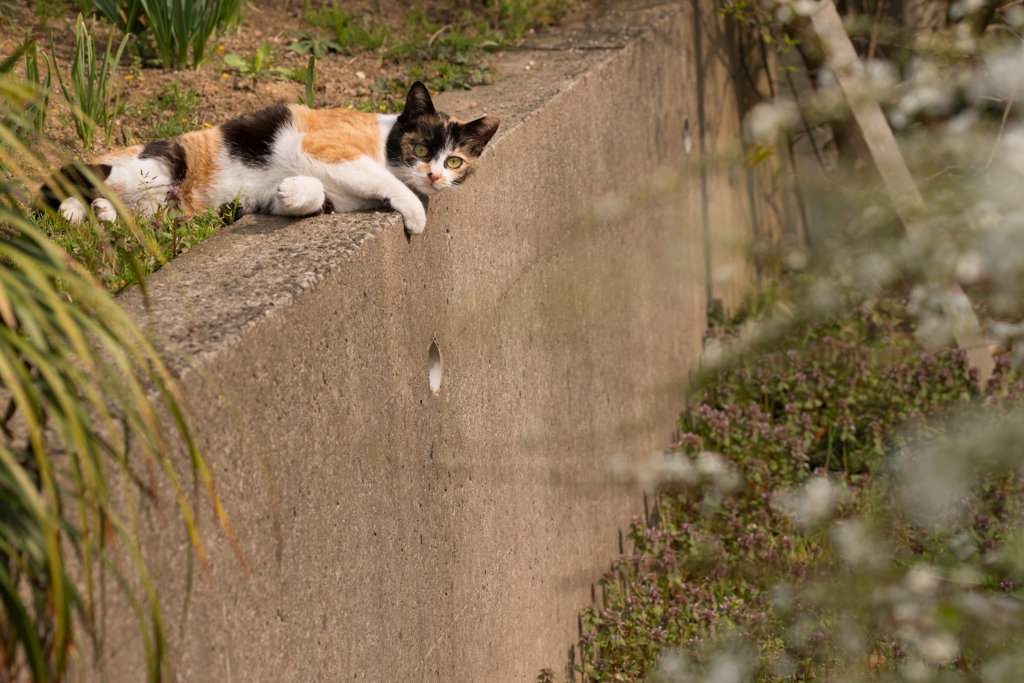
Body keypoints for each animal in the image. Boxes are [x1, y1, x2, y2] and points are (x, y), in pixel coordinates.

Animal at [39, 81, 499, 236]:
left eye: (455, 162)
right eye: (420, 149)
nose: (435, 177)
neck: (384, 141)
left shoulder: (327, 194)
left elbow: (312, 197)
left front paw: (294, 192)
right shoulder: (325, 148)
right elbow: (383, 179)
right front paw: (416, 215)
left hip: (159, 205)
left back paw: (101, 213)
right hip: (149, 167)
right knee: (64, 182)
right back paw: (74, 211)